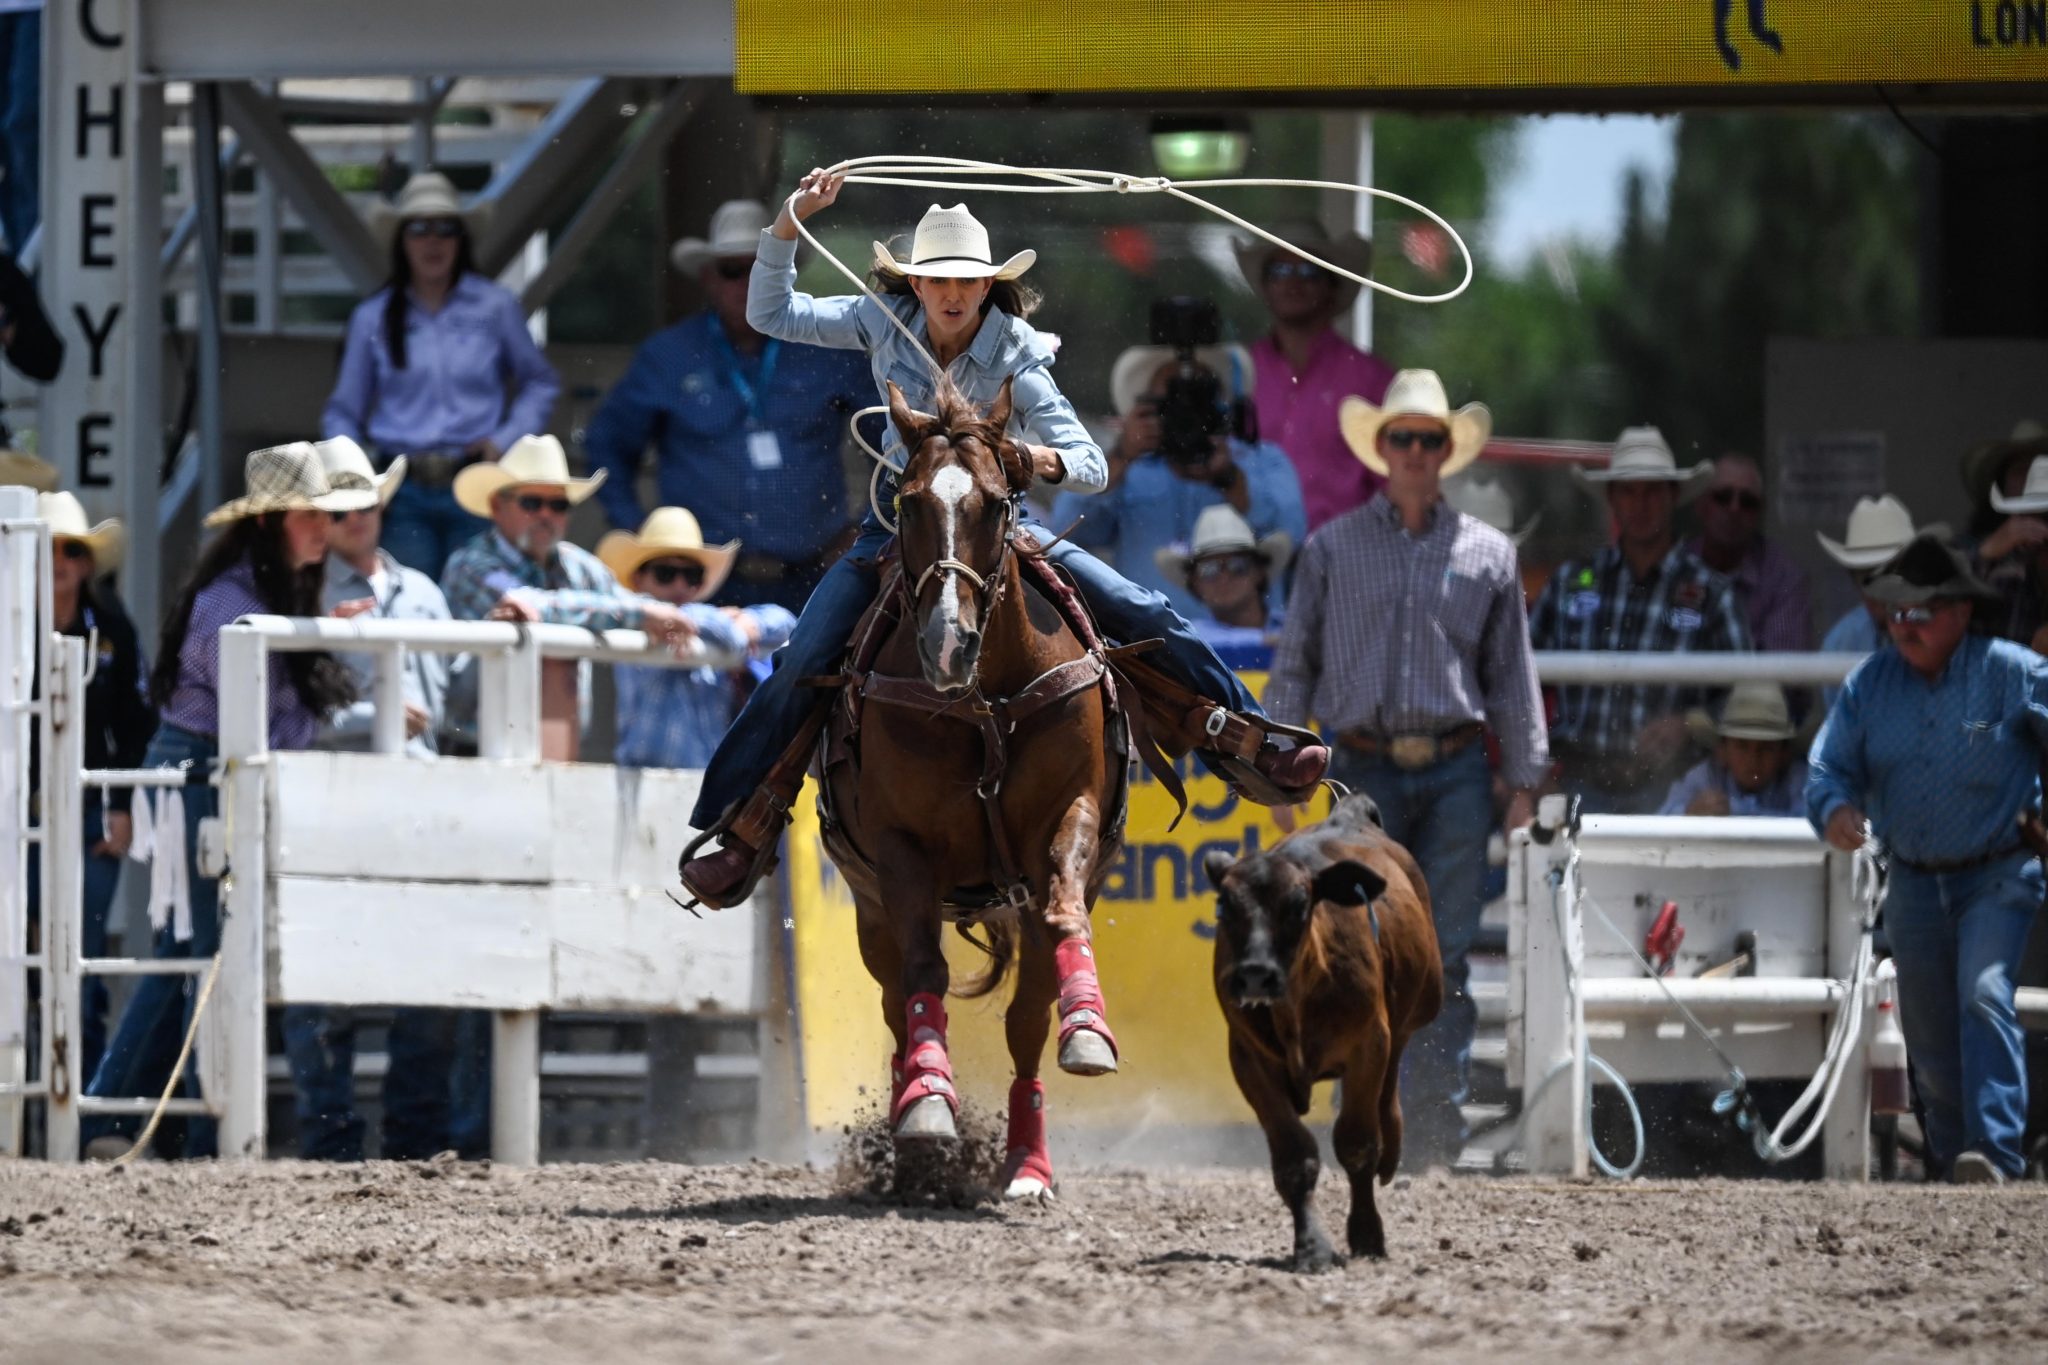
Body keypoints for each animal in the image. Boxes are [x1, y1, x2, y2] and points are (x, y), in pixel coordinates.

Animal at [815, 378, 1130, 1203]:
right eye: (908, 502)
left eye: (994, 502)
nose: (946, 643)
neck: (984, 699)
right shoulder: (900, 852)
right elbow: (925, 973)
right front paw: (927, 1106)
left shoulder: (1070, 815)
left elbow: (1062, 915)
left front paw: (1090, 1029)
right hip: (869, 910)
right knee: (897, 1002)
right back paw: (913, 1122)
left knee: (1025, 1023)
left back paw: (1026, 1164)